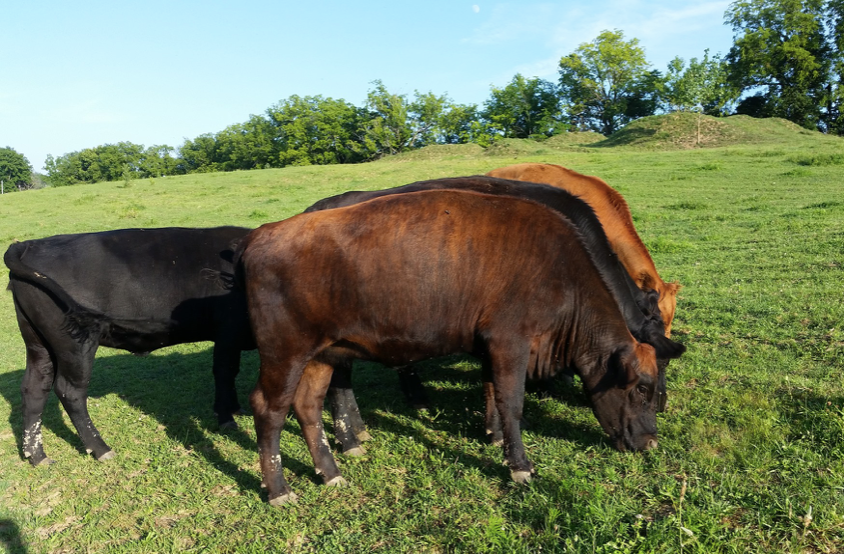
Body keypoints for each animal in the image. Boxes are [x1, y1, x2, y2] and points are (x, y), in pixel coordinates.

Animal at [4, 226, 254, 464]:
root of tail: (30, 244)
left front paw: (234, 409)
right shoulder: (228, 332)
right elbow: (225, 373)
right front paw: (226, 418)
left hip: (39, 344)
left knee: (34, 388)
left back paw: (37, 456)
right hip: (75, 344)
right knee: (70, 391)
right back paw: (101, 449)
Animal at [241, 188, 668, 502]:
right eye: (642, 389)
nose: (650, 442)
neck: (561, 272)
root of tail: (264, 233)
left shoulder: (492, 348)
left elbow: (492, 392)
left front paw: (495, 438)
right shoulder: (511, 343)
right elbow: (512, 404)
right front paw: (520, 465)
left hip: (321, 356)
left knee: (308, 406)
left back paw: (330, 472)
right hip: (285, 354)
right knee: (270, 410)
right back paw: (279, 489)